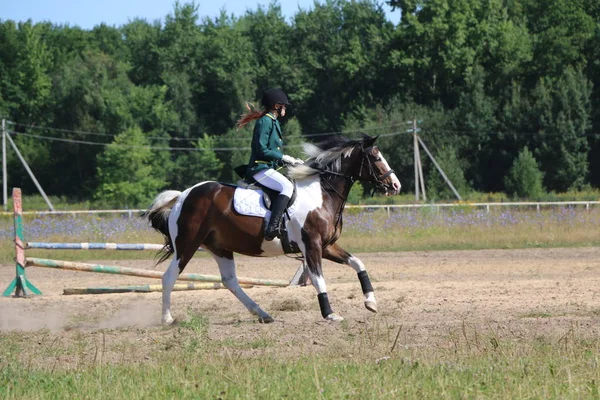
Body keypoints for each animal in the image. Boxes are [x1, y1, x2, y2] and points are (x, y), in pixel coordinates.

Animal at [143, 134, 400, 324]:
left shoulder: (327, 246)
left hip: (220, 247)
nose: (395, 185)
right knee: (169, 277)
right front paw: (330, 314)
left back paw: (262, 314)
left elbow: (358, 263)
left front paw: (371, 302)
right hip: (187, 245)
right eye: (376, 158)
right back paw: (168, 320)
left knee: (229, 281)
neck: (322, 195)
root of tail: (182, 196)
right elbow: (318, 279)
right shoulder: (312, 245)